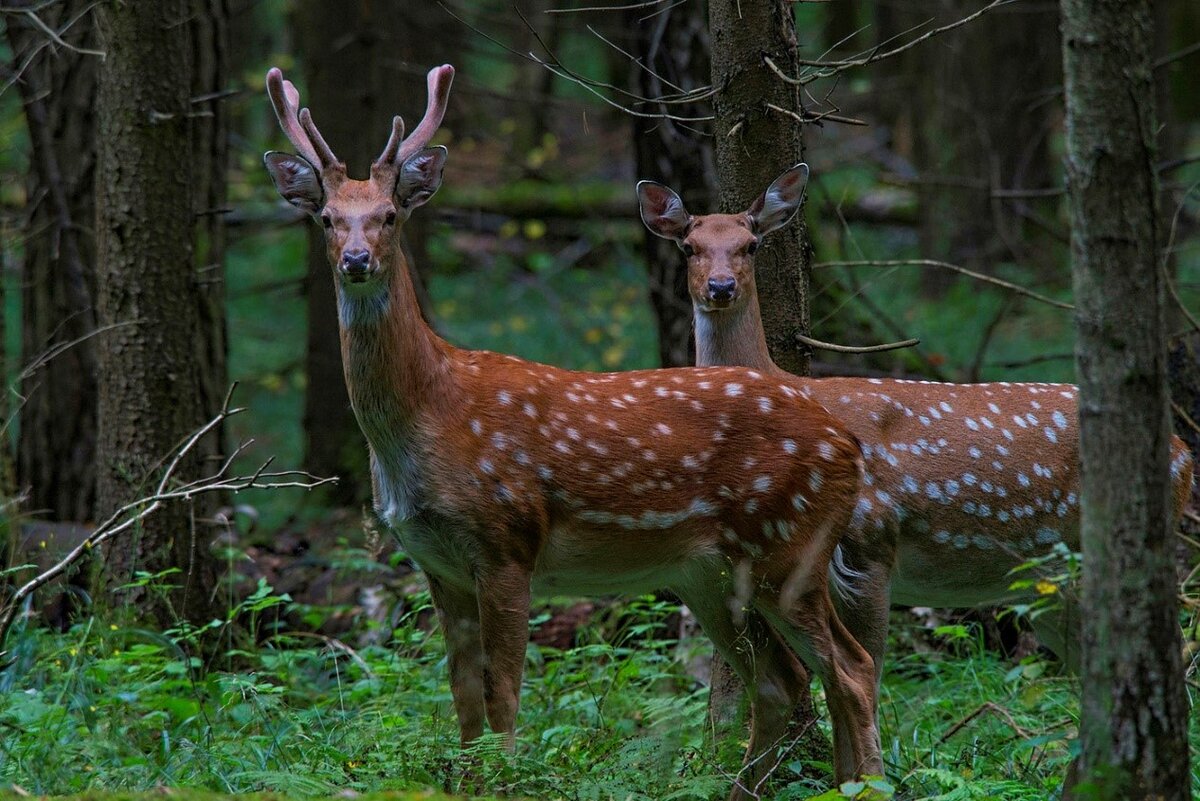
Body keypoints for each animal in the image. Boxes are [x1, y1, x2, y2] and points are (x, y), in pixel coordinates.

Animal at [262, 67, 883, 796]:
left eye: (390, 215)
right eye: (327, 217)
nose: (357, 259)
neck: (427, 416)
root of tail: (848, 446)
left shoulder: (507, 540)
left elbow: (504, 695)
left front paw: (505, 779)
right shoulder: (436, 562)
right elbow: (463, 700)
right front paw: (470, 780)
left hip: (788, 545)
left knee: (852, 667)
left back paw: (868, 780)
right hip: (707, 572)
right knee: (785, 678)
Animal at [633, 164, 1195, 690]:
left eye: (750, 245)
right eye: (689, 247)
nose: (720, 287)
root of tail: (1183, 452)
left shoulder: (872, 542)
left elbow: (870, 672)